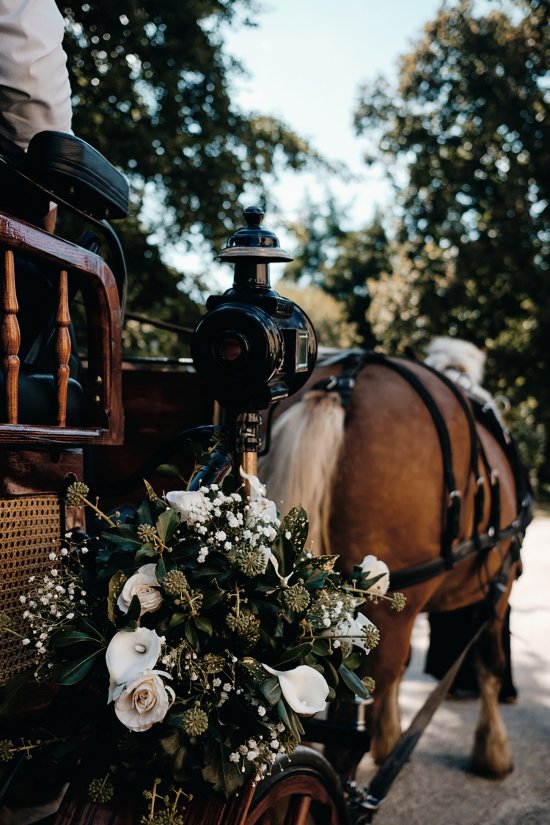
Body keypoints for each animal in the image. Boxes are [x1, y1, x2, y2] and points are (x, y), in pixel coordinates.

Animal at [260, 348, 528, 780]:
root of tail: (344, 383)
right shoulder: (498, 592)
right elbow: (490, 665)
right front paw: (493, 752)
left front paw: (388, 736)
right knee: (342, 741)